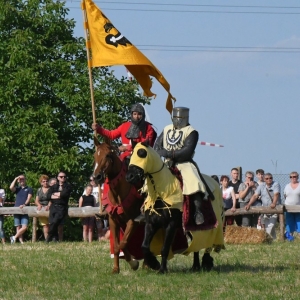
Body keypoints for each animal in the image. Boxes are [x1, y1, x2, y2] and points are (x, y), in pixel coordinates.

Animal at [93, 138, 145, 274]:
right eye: (95, 155)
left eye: (107, 155)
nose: (97, 177)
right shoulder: (113, 221)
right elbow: (118, 245)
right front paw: (116, 269)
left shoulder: (133, 221)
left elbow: (123, 243)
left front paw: (134, 263)